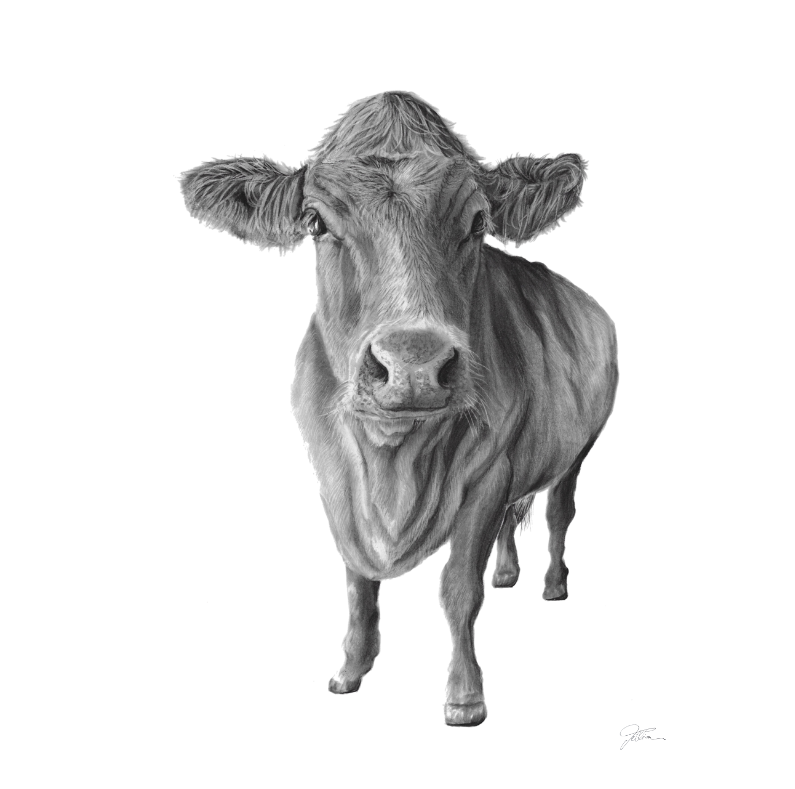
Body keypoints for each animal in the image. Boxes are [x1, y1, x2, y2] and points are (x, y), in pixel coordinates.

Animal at [181, 92, 618, 726]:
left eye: (479, 222)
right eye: (316, 222)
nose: (413, 366)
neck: (394, 460)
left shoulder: (490, 474)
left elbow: (459, 588)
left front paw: (465, 696)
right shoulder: (336, 479)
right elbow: (358, 584)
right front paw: (350, 670)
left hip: (581, 449)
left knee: (560, 513)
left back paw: (552, 584)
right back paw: (507, 572)